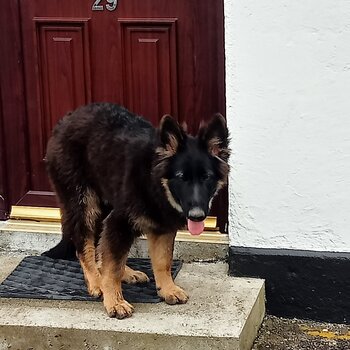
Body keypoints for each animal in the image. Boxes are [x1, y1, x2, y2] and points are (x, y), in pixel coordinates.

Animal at [44, 102, 230, 318]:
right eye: (181, 177)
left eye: (206, 177)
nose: (197, 216)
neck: (153, 181)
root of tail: (66, 120)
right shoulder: (119, 221)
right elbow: (113, 267)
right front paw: (115, 301)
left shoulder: (162, 227)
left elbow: (163, 260)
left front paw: (167, 289)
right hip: (84, 205)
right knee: (84, 244)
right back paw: (96, 281)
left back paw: (124, 273)